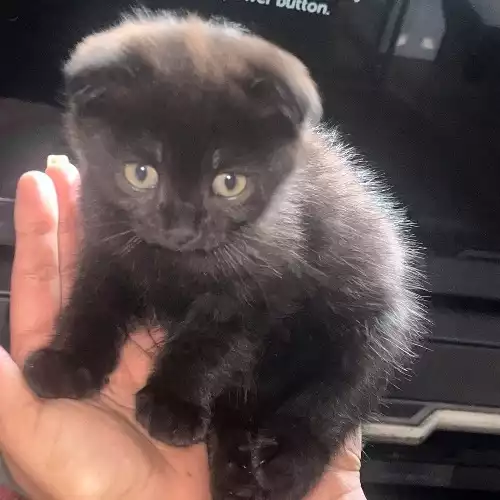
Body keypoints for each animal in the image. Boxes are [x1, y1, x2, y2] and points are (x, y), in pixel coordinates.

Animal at [23, 11, 422, 500]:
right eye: (140, 173)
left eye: (229, 183)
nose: (181, 228)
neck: (177, 263)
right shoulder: (106, 247)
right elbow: (91, 307)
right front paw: (66, 364)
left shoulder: (255, 288)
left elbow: (206, 343)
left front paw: (172, 405)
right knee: (239, 413)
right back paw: (237, 476)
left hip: (374, 334)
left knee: (336, 400)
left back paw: (285, 465)